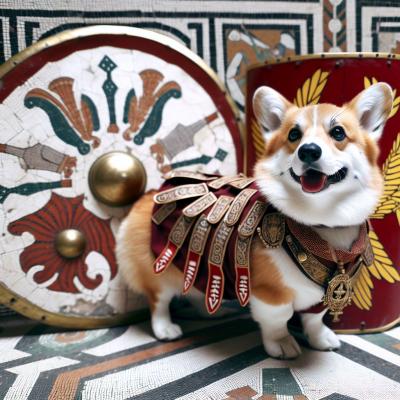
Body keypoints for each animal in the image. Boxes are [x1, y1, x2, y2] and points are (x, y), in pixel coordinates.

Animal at [115, 83, 390, 358]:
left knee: (193, 288)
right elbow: (279, 319)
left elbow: (314, 319)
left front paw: (321, 338)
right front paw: (282, 343)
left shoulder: (324, 290)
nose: (308, 151)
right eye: (293, 135)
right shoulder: (270, 294)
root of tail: (149, 195)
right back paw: (166, 329)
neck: (321, 221)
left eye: (338, 132)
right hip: (159, 270)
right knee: (158, 301)